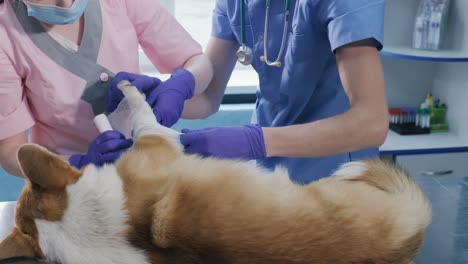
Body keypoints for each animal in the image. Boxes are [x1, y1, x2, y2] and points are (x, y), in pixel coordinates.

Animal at [0, 81, 432, 262]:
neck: (89, 220)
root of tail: (414, 226)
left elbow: (126, 117)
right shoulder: (155, 139)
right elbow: (140, 110)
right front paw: (125, 90)